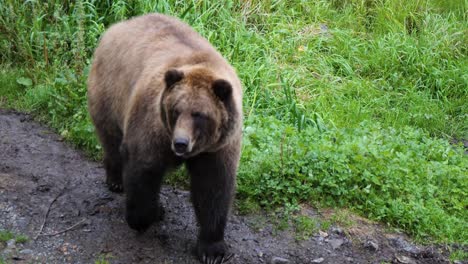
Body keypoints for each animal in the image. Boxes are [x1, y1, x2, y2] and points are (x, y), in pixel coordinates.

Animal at [87, 13, 241, 262]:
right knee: (110, 137)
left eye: (199, 114)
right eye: (176, 110)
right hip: (110, 91)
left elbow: (213, 188)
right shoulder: (154, 128)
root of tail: (119, 25)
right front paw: (143, 217)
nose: (180, 143)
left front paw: (212, 249)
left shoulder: (218, 147)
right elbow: (143, 168)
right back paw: (116, 181)